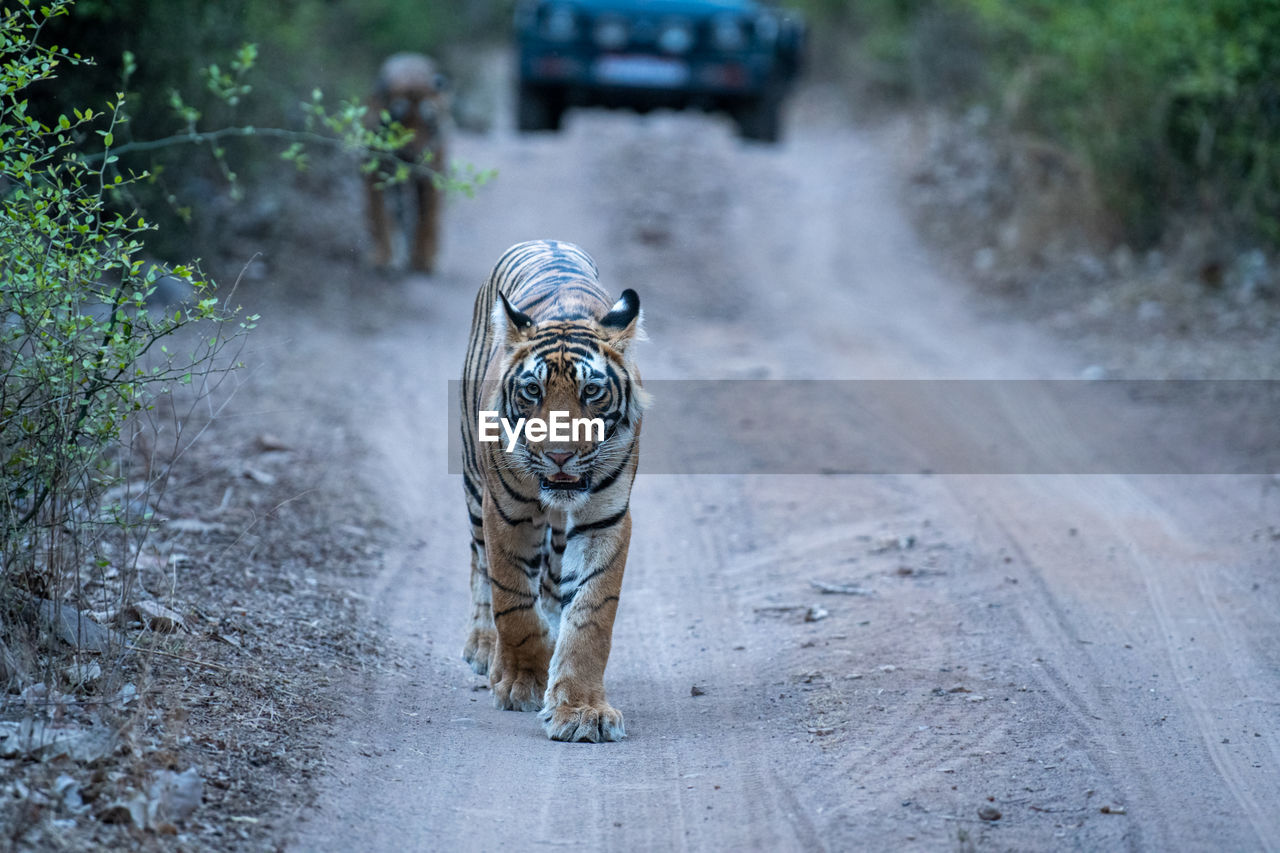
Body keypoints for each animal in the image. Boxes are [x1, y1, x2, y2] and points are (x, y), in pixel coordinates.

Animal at [366, 52, 450, 272]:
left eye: (429, 121)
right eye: (399, 121)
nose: (414, 156)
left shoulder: (430, 174)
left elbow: (427, 215)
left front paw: (425, 260)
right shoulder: (374, 172)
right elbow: (378, 212)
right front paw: (382, 257)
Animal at [458, 236, 650, 737]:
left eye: (591, 392)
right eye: (532, 391)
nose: (560, 455)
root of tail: (545, 240)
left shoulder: (603, 517)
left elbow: (590, 615)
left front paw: (582, 709)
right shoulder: (505, 512)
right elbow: (512, 603)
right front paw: (522, 681)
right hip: (473, 486)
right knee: (479, 564)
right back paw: (484, 648)